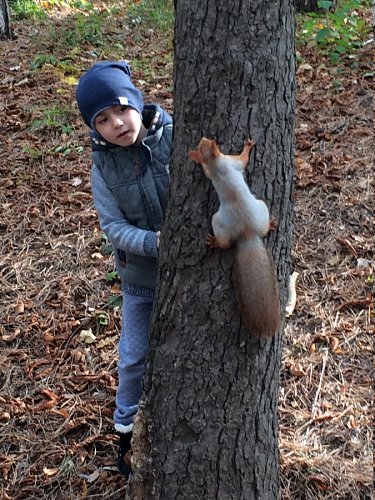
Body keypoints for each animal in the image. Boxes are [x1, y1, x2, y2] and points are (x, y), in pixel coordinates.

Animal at [189, 138, 280, 336]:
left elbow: (212, 169)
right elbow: (243, 160)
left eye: (207, 141)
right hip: (228, 217)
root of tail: (247, 232)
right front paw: (247, 146)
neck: (215, 163)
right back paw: (216, 242)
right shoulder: (231, 162)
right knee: (226, 243)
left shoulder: (223, 165)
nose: (203, 138)